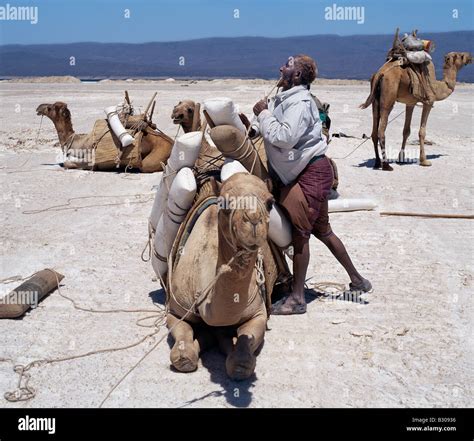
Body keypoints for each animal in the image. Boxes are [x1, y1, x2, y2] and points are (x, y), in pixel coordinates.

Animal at [37, 102, 173, 173]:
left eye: (50, 108)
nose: (39, 107)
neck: (76, 142)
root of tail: (172, 142)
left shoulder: (90, 158)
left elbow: (68, 163)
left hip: (151, 159)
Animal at [166, 174, 278, 380]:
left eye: (270, 203)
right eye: (224, 203)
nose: (253, 218)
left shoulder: (258, 314)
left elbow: (240, 360)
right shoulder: (176, 311)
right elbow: (183, 347)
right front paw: (189, 353)